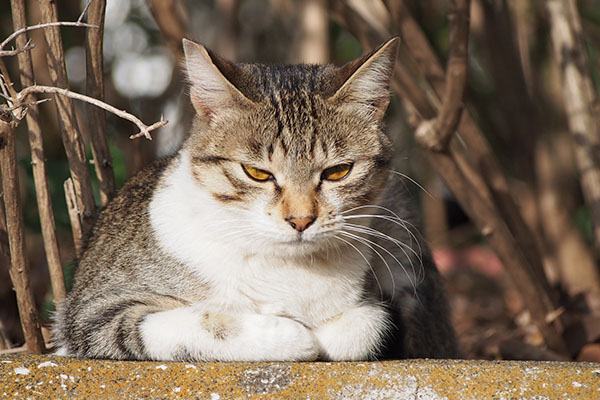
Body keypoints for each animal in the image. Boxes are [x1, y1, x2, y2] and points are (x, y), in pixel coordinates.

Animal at [55, 37, 460, 360]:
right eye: (258, 173)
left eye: (337, 172)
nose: (300, 220)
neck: (288, 271)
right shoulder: (91, 316)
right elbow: (180, 325)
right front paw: (289, 335)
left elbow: (370, 326)